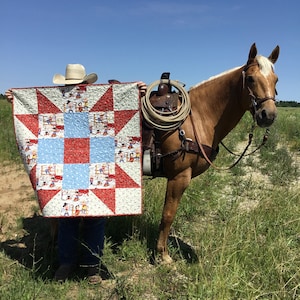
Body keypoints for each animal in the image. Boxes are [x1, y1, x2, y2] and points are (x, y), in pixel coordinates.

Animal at [151, 42, 280, 262]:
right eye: (251, 78)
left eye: (276, 79)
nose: (268, 115)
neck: (197, 117)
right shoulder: (179, 176)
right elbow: (168, 215)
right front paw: (164, 255)